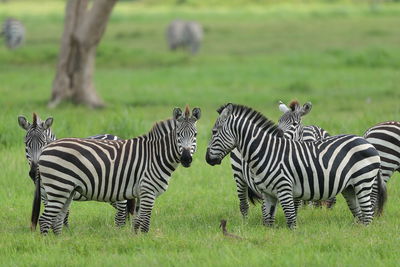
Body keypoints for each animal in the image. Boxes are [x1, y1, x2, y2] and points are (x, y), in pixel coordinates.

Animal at [29, 105, 202, 236]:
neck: (156, 155)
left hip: (66, 190)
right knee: (45, 219)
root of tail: (45, 149)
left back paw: (59, 243)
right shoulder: (148, 191)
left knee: (57, 219)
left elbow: (137, 221)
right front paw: (144, 241)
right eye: (178, 134)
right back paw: (48, 245)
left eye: (195, 135)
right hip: (58, 187)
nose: (186, 158)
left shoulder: (141, 193)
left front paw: (135, 239)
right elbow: (145, 222)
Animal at [205, 103, 386, 229]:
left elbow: (291, 220)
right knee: (360, 215)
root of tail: (366, 142)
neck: (266, 152)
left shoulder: (285, 189)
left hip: (363, 181)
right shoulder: (268, 193)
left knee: (367, 214)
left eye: (213, 132)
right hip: (349, 187)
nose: (207, 159)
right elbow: (268, 221)